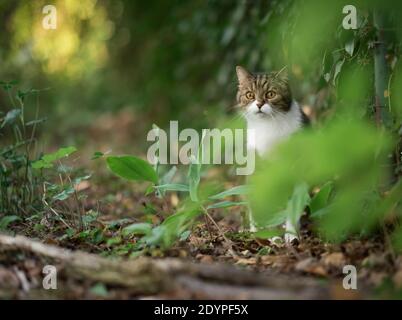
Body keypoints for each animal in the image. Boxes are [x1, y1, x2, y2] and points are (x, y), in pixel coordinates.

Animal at [236, 65, 308, 242]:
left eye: (270, 94)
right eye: (250, 95)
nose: (259, 104)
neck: (268, 126)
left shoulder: (295, 166)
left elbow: (293, 203)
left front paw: (291, 235)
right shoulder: (259, 169)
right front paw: (272, 236)